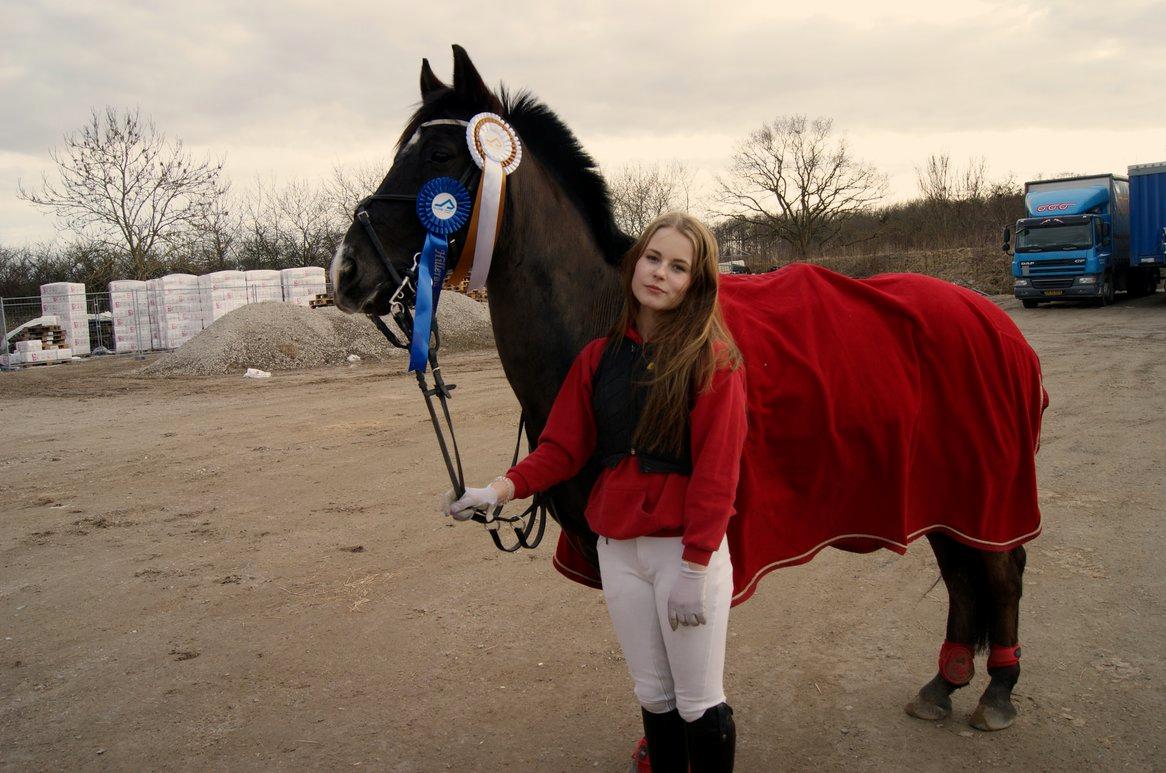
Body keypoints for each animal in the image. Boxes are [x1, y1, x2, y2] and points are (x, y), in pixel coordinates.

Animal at [331, 45, 1049, 736]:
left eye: (440, 155)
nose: (345, 271)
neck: (612, 320)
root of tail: (992, 319)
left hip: (984, 491)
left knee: (1001, 573)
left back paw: (1000, 690)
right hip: (944, 496)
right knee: (963, 574)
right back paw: (945, 684)